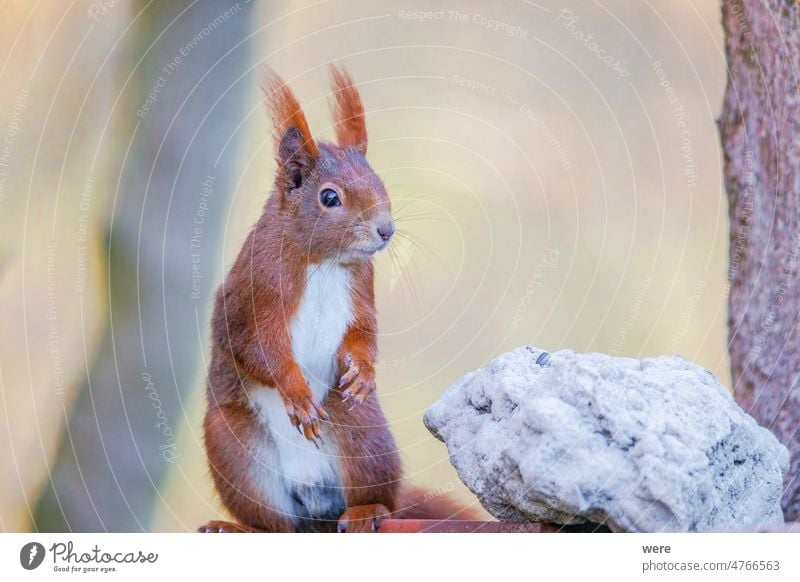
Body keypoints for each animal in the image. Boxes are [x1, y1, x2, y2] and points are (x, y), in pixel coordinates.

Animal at [199, 68, 476, 532]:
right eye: (330, 197)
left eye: (380, 183)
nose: (386, 230)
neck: (322, 261)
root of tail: (317, 505)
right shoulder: (254, 293)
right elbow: (257, 347)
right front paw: (295, 391)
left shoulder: (361, 287)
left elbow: (364, 331)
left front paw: (362, 370)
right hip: (233, 448)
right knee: (276, 526)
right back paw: (236, 526)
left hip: (361, 432)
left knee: (378, 496)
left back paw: (367, 511)